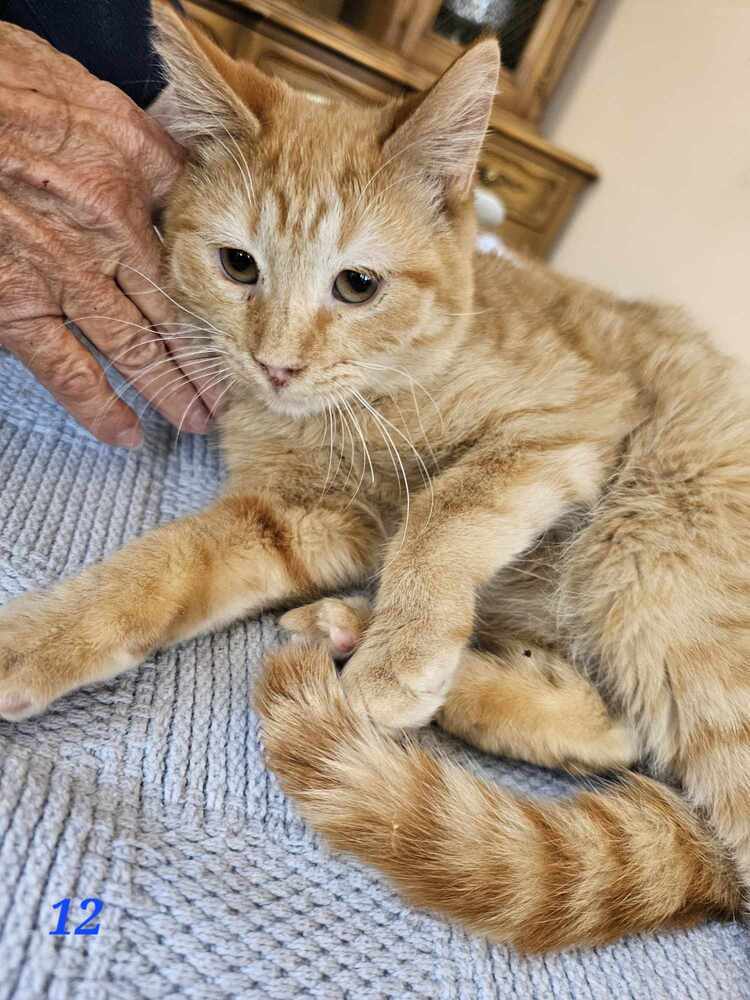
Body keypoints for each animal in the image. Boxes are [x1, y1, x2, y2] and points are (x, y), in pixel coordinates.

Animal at [1, 1, 750, 952]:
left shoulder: (572, 418)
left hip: (647, 549)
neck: (354, 406)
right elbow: (162, 566)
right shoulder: (302, 517)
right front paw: (47, 635)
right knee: (616, 730)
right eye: (238, 264)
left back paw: (388, 651)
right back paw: (372, 639)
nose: (276, 364)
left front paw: (407, 647)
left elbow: (444, 507)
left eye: (356, 284)